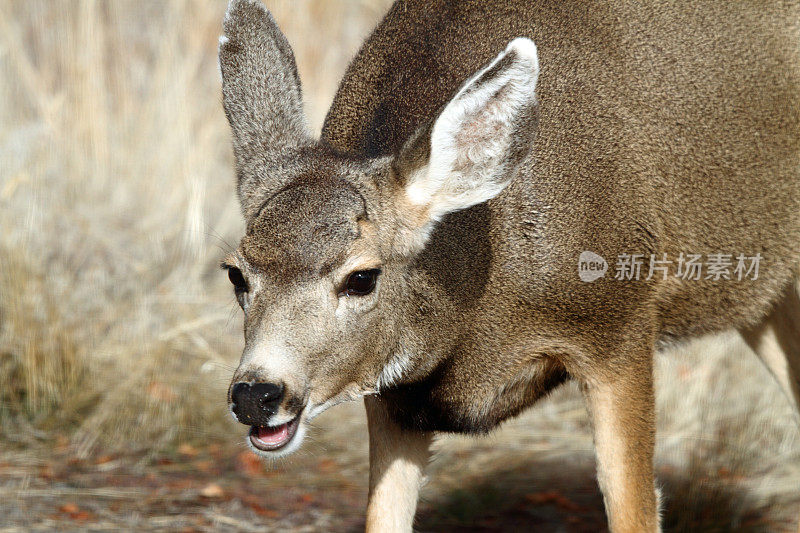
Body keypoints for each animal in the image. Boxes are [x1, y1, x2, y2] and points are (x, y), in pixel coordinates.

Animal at [217, 1, 800, 532]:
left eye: (362, 277)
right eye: (236, 274)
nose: (257, 394)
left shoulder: (618, 322)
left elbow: (631, 507)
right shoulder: (394, 396)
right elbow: (383, 514)